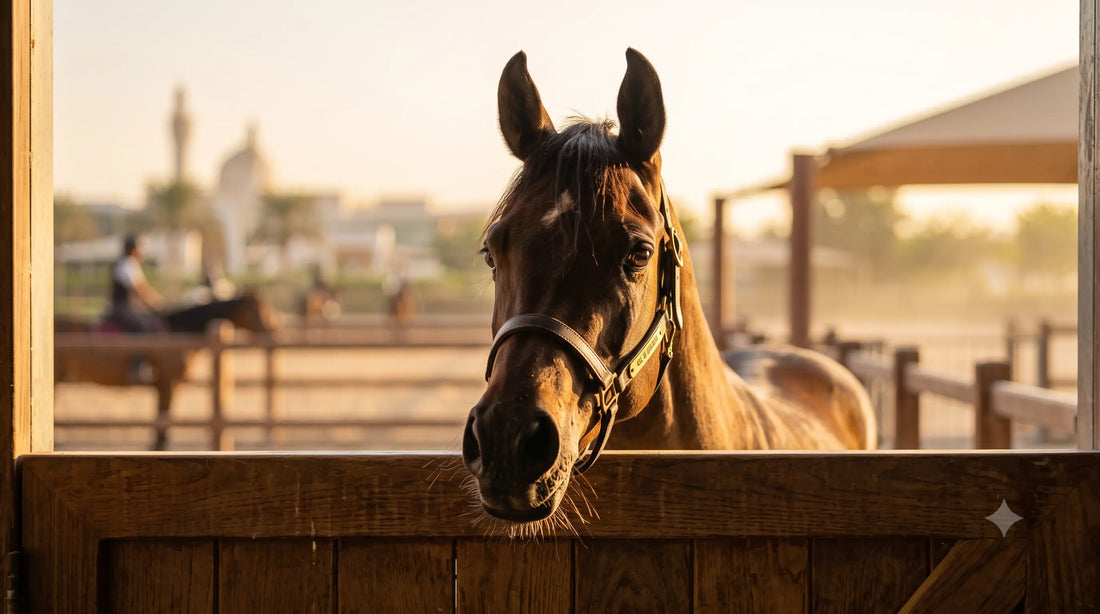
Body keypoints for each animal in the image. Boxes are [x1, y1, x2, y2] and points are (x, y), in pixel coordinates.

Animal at [55, 293, 279, 450]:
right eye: (259, 311)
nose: (273, 332)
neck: (179, 332)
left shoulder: (165, 385)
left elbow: (162, 417)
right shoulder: (168, 383)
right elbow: (164, 417)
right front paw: (159, 447)